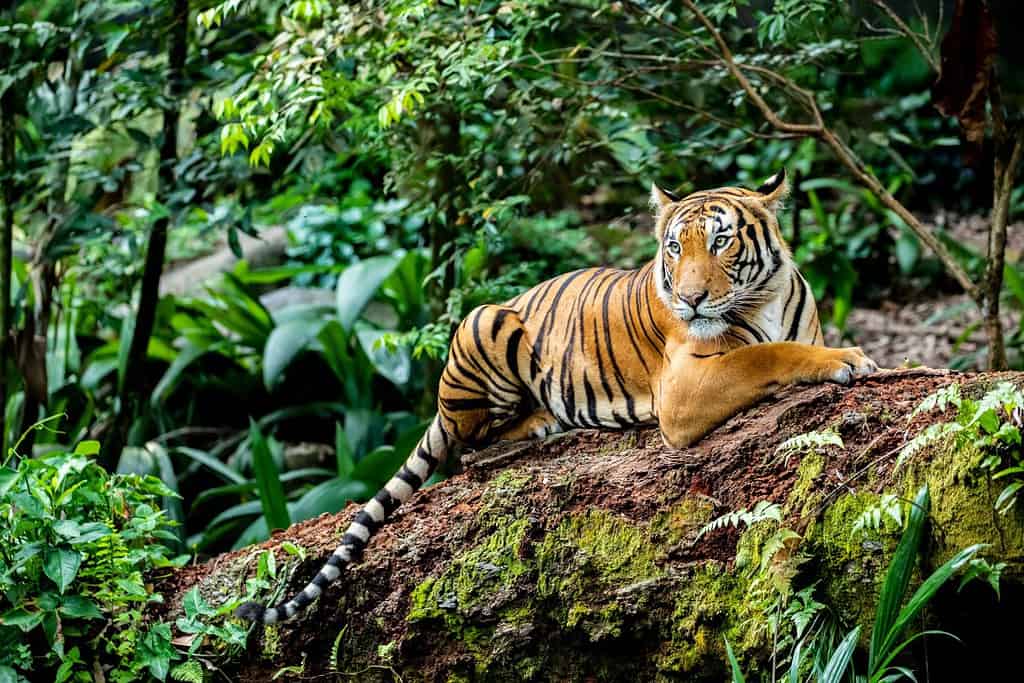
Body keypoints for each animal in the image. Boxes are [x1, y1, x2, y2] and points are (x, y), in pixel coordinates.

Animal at [236, 169, 879, 624]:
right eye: (675, 248)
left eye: (721, 242)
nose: (691, 298)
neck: (763, 297)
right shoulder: (685, 385)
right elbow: (764, 355)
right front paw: (847, 360)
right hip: (485, 323)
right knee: (469, 446)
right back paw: (536, 425)